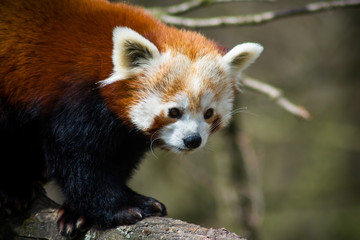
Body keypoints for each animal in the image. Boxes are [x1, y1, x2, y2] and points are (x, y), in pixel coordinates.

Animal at [1, 0, 262, 237]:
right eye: (174, 112)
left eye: (208, 113)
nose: (192, 140)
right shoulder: (75, 97)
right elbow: (77, 159)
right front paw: (125, 206)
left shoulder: (124, 132)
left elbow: (117, 160)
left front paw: (76, 212)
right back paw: (16, 189)